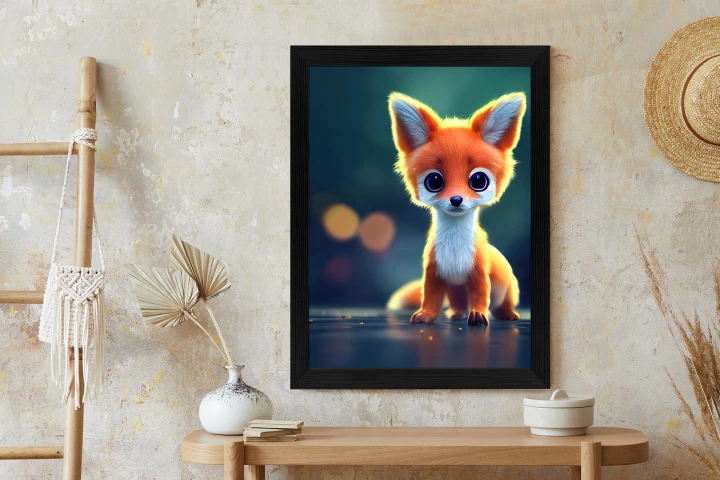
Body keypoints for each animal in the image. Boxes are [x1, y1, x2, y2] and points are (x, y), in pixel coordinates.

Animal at [386, 92, 526, 326]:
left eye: (478, 180)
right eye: (434, 181)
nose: (456, 199)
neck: (454, 249)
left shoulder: (478, 273)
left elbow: (481, 296)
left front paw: (478, 315)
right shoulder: (435, 273)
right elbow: (431, 298)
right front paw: (425, 315)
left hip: (509, 289)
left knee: (502, 304)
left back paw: (507, 314)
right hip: (456, 290)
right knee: (458, 304)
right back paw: (457, 314)